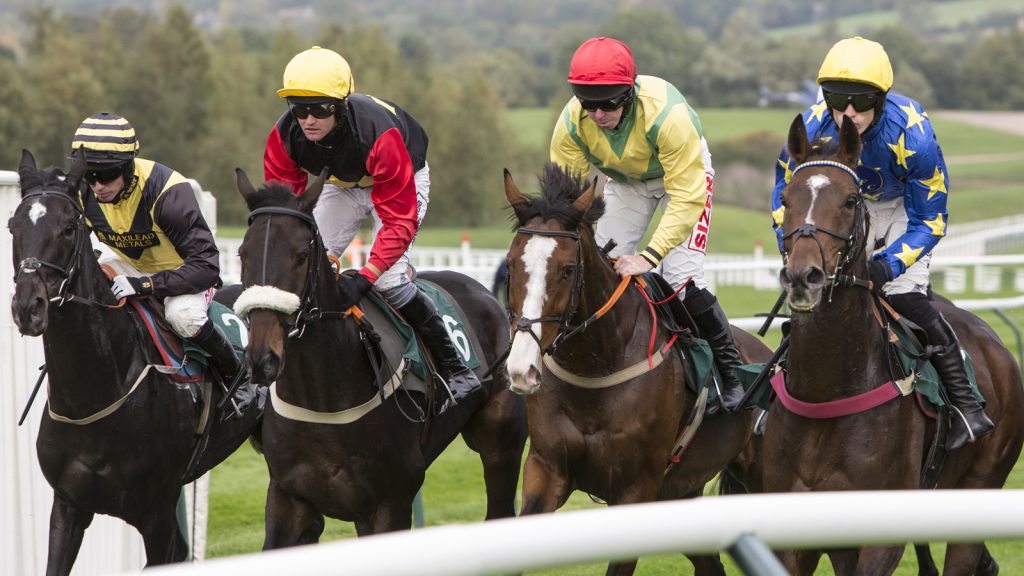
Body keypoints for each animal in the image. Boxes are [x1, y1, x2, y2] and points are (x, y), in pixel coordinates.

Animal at [8, 148, 262, 573]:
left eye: (69, 228)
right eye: (13, 226)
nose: (29, 306)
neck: (94, 395)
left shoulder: (158, 514)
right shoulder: (68, 506)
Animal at [229, 167, 524, 541]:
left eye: (301, 256)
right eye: (243, 254)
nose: (262, 358)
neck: (322, 400)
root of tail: (483, 291)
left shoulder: (391, 500)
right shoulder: (288, 497)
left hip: (501, 445)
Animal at [503, 162, 774, 573]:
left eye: (567, 269)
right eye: (511, 264)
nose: (522, 368)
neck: (596, 368)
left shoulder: (637, 489)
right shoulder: (546, 470)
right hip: (682, 493)